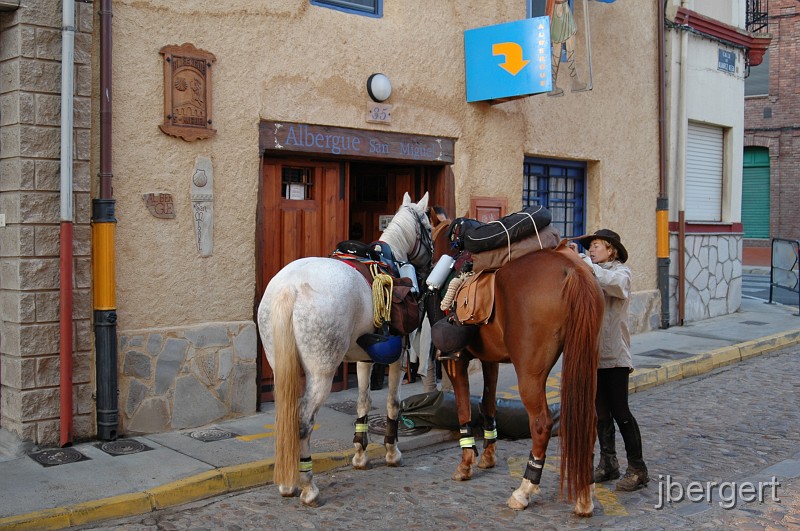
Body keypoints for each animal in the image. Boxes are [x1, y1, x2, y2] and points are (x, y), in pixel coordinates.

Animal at [256, 191, 432, 508]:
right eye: (428, 224)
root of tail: (289, 287)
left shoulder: (364, 358)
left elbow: (363, 402)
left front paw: (361, 455)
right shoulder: (397, 358)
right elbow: (392, 404)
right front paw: (392, 452)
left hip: (280, 367)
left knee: (287, 419)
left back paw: (288, 483)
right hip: (321, 373)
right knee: (303, 421)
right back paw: (308, 486)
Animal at [432, 215, 600, 516]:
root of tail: (571, 271)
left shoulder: (456, 361)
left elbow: (463, 408)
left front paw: (466, 463)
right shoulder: (490, 360)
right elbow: (488, 403)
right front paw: (488, 455)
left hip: (530, 373)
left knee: (542, 424)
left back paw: (525, 489)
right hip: (586, 363)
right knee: (589, 421)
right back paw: (584, 493)